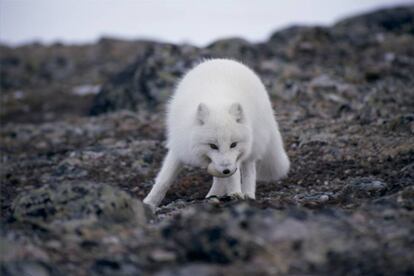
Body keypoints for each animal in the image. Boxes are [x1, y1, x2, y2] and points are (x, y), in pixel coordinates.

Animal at [144, 58, 290, 209]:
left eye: (233, 144)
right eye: (213, 146)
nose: (226, 170)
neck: (216, 102)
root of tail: (225, 60)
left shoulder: (234, 160)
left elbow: (234, 176)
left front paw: (236, 193)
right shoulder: (180, 147)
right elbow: (164, 180)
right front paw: (149, 202)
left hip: (252, 145)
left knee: (249, 170)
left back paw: (248, 195)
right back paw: (212, 195)